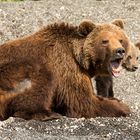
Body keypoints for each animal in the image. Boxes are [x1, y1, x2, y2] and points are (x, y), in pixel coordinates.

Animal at [0, 19, 131, 121]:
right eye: (104, 41)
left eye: (121, 39)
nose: (119, 51)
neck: (80, 59)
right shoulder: (68, 68)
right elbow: (83, 102)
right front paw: (123, 107)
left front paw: (114, 98)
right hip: (16, 72)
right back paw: (48, 114)